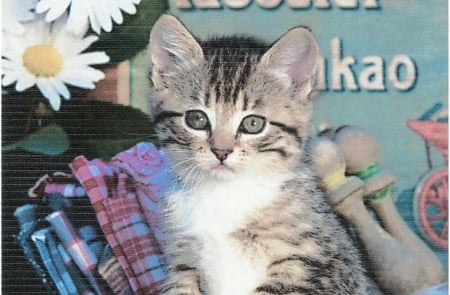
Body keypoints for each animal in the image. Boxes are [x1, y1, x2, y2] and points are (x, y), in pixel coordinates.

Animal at [149, 15, 370, 295]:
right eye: (196, 119)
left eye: (253, 124)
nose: (221, 151)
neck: (225, 193)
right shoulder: (182, 262)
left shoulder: (320, 265)